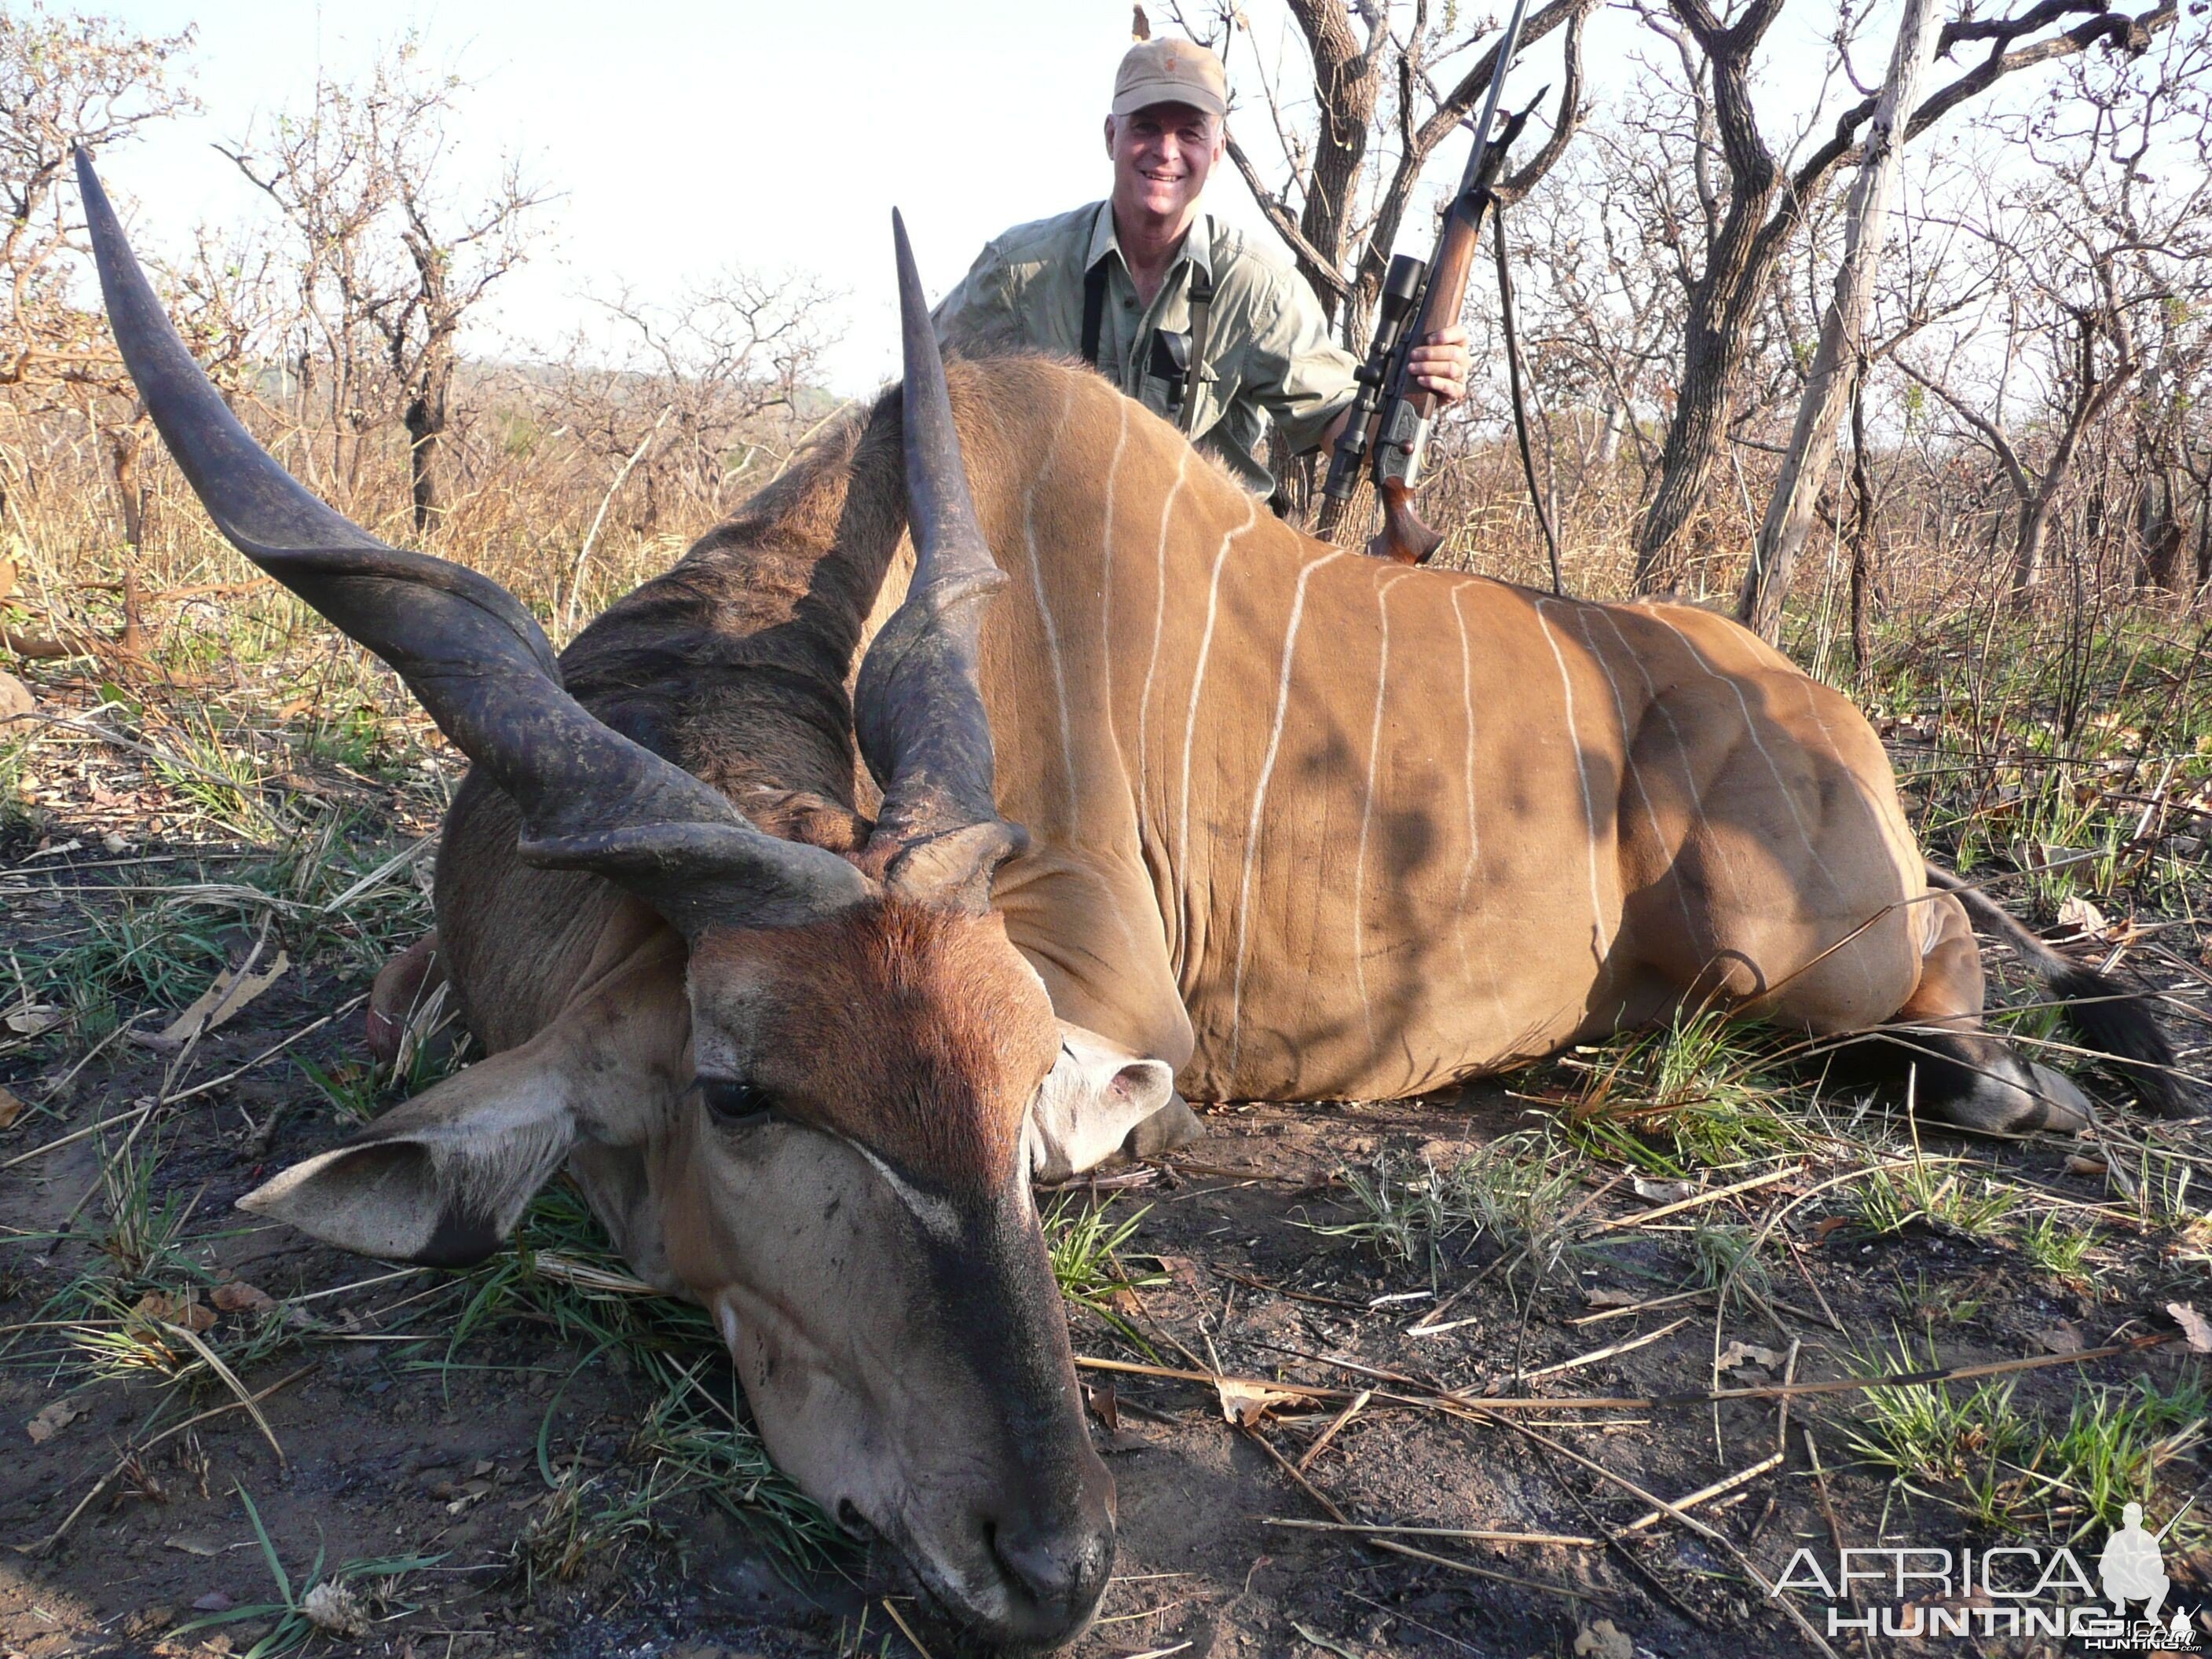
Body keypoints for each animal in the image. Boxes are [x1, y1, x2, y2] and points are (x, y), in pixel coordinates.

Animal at [82, 140, 2176, 1654]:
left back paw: (2024, 1084)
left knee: (1960, 966)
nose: (1052, 1560)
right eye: (742, 1091)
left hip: (1801, 945)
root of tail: (1816, 704)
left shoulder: (1107, 972)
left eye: (1020, 1087)